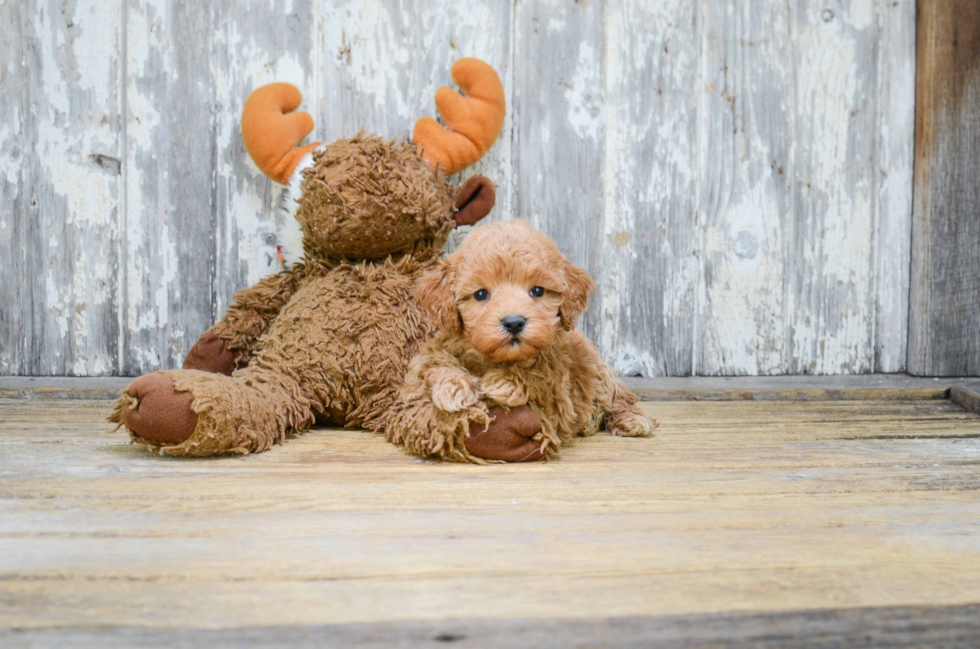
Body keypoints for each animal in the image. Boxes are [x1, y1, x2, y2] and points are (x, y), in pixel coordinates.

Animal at [384, 220, 660, 464]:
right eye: (481, 294)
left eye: (537, 290)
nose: (514, 322)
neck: (498, 358)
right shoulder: (425, 359)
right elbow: (434, 363)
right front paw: (453, 386)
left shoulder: (558, 397)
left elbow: (537, 379)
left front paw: (502, 382)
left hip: (598, 373)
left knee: (619, 397)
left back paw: (633, 420)